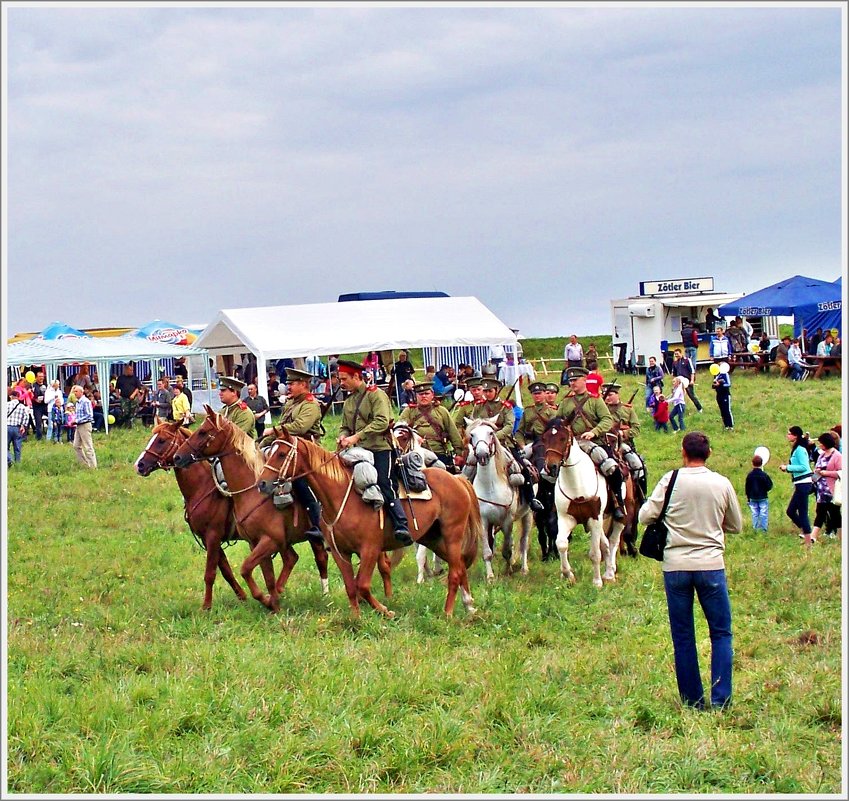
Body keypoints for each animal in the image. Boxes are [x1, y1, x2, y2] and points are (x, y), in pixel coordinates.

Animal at [132, 422, 245, 608]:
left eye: (162, 440)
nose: (139, 465)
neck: (203, 487)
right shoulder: (208, 539)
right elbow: (225, 570)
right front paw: (243, 596)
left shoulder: (213, 536)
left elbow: (210, 573)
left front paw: (206, 606)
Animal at [173, 410, 332, 616]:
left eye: (203, 432)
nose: (177, 457)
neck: (251, 492)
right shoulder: (255, 542)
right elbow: (265, 576)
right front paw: (273, 604)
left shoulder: (265, 540)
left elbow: (242, 569)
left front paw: (267, 601)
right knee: (296, 558)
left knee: (320, 558)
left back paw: (326, 595)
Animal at [256, 432, 484, 620]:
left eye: (282, 454)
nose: (262, 484)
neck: (339, 496)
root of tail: (457, 479)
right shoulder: (341, 553)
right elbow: (351, 587)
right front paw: (356, 619)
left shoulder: (370, 549)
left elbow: (362, 586)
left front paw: (386, 611)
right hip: (433, 538)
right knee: (460, 566)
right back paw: (470, 607)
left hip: (452, 534)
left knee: (454, 573)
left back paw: (448, 612)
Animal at [464, 416, 528, 580]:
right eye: (472, 434)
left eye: (491, 432)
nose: (482, 454)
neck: (490, 486)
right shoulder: (483, 521)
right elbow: (488, 551)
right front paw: (490, 576)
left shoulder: (507, 521)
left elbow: (507, 548)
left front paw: (508, 570)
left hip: (528, 515)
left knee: (523, 542)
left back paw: (524, 569)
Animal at [540, 418, 628, 588]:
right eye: (544, 438)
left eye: (563, 438)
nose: (551, 467)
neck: (577, 485)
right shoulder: (566, 518)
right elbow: (562, 544)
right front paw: (568, 575)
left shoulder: (594, 519)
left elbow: (595, 553)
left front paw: (597, 581)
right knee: (605, 544)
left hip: (619, 516)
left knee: (613, 541)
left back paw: (609, 573)